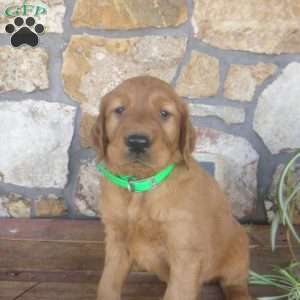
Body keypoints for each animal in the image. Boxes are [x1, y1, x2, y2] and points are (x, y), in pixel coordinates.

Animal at [92, 77, 251, 300]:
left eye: (164, 113)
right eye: (120, 109)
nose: (137, 142)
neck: (141, 187)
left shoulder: (185, 253)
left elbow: (178, 292)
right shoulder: (116, 241)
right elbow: (107, 285)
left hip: (238, 247)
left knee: (235, 283)